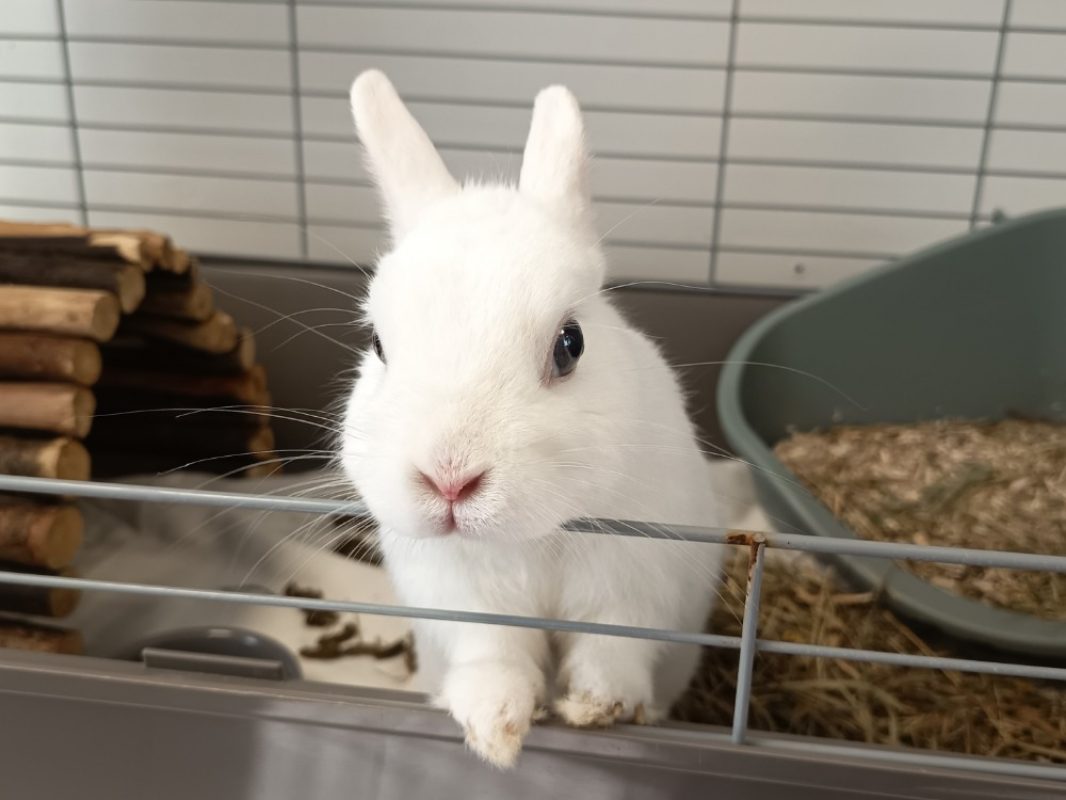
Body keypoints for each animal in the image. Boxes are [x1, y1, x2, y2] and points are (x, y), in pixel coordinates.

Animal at [340, 70, 725, 769]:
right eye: (378, 344)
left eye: (570, 344)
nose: (450, 480)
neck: (533, 538)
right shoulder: (465, 606)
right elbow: (494, 659)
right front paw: (493, 730)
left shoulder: (633, 593)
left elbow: (612, 651)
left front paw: (599, 708)